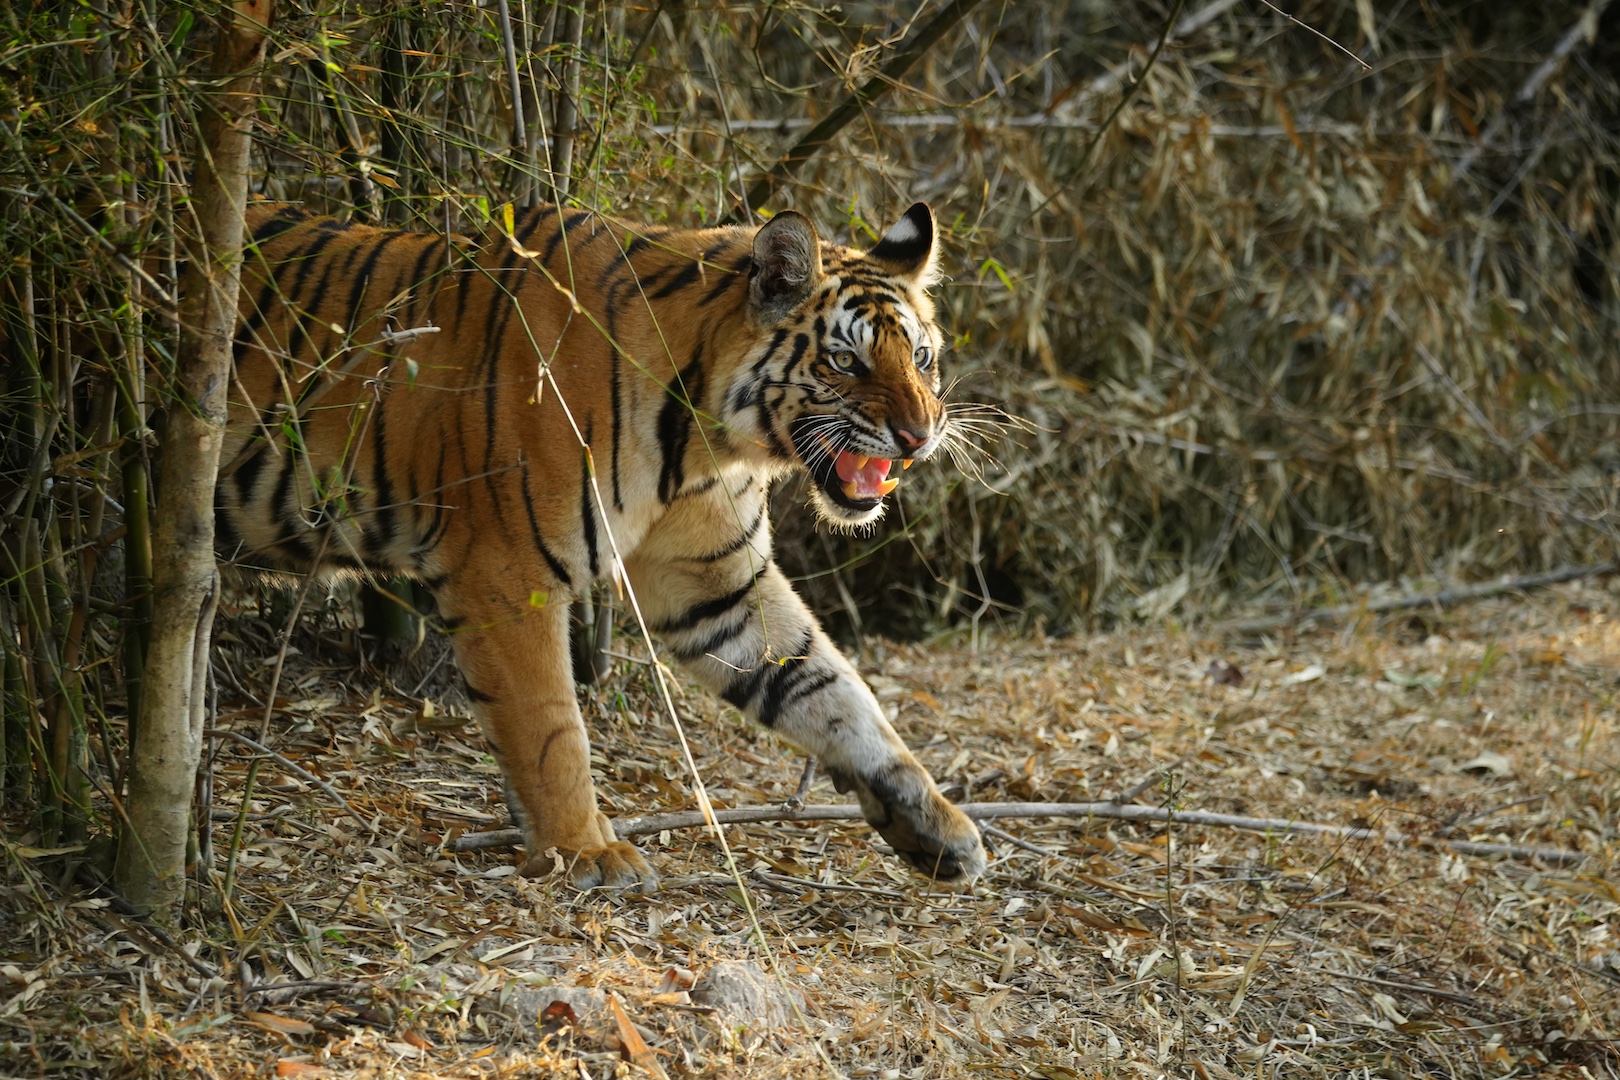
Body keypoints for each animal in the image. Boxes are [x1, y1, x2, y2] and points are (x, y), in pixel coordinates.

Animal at [220, 199, 988, 889]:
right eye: (846, 362)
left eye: (922, 357)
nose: (921, 437)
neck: (705, 442)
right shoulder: (506, 572)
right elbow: (551, 725)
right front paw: (584, 851)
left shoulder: (716, 585)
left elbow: (833, 688)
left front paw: (937, 826)